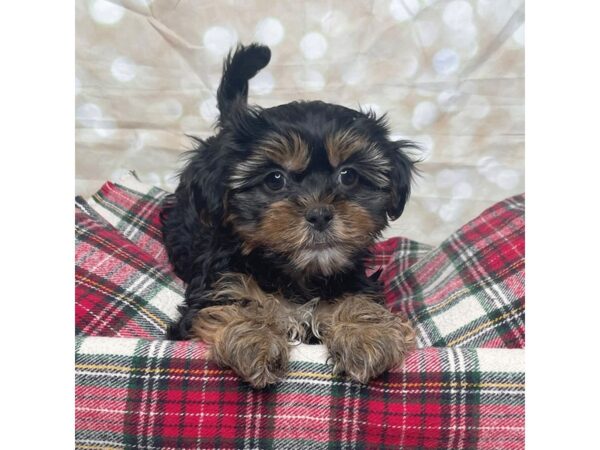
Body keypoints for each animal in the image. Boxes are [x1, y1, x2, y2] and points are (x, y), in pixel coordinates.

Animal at [162, 44, 420, 390]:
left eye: (349, 176)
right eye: (274, 179)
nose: (320, 214)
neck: (297, 274)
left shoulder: (353, 278)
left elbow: (358, 298)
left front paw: (368, 334)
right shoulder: (216, 283)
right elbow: (233, 302)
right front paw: (254, 340)